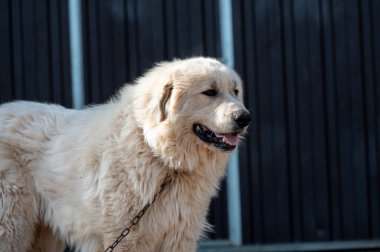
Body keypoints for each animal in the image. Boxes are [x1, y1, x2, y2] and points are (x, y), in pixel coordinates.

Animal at [0, 57, 251, 252]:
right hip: (12, 226)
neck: (160, 157)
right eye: (209, 92)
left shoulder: (178, 237)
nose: (245, 118)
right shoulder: (123, 238)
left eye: (235, 91)